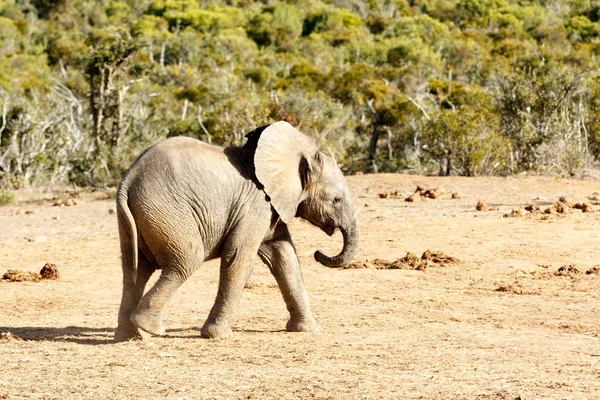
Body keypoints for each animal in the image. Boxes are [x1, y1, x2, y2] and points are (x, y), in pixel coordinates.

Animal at [114, 120, 358, 342]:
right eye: (337, 200)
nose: (318, 253)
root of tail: (129, 180)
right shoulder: (256, 204)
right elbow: (239, 256)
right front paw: (218, 336)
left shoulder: (269, 208)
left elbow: (283, 255)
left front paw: (308, 329)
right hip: (168, 212)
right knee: (185, 261)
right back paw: (150, 327)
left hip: (140, 217)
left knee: (134, 270)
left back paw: (129, 337)